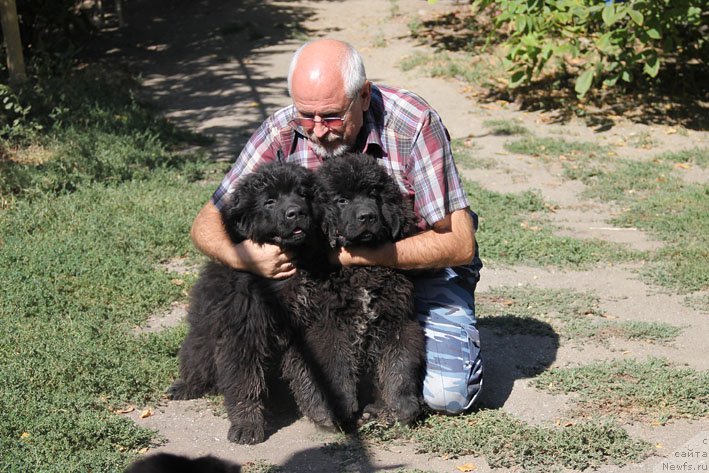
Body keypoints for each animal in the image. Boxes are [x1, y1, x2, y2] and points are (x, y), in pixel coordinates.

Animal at [169, 161, 332, 442]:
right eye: (269, 201)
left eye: (303, 194)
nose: (296, 212)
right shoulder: (243, 331)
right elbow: (244, 381)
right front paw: (247, 425)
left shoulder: (305, 327)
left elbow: (309, 373)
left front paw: (323, 412)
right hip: (200, 342)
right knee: (198, 366)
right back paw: (187, 387)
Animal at [306, 153, 426, 426]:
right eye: (341, 200)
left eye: (374, 196)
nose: (367, 216)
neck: (362, 270)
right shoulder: (329, 324)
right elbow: (337, 365)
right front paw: (342, 406)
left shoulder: (398, 321)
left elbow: (399, 365)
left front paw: (403, 406)